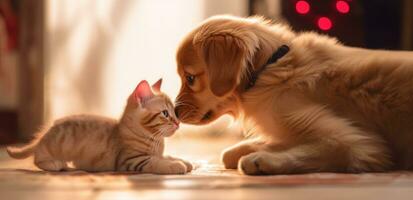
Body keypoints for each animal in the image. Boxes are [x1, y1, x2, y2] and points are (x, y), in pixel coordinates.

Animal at [7, 79, 192, 173]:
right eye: (165, 113)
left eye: (174, 113)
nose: (178, 122)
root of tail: (45, 133)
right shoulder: (132, 160)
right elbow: (157, 163)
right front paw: (175, 165)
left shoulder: (156, 153)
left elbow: (166, 156)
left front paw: (184, 161)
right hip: (52, 147)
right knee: (38, 157)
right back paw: (55, 164)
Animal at [173, 16, 412, 175]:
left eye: (190, 78)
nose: (174, 112)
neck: (267, 68)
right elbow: (233, 152)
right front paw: (251, 149)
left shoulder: (358, 144)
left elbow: (315, 148)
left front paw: (262, 159)